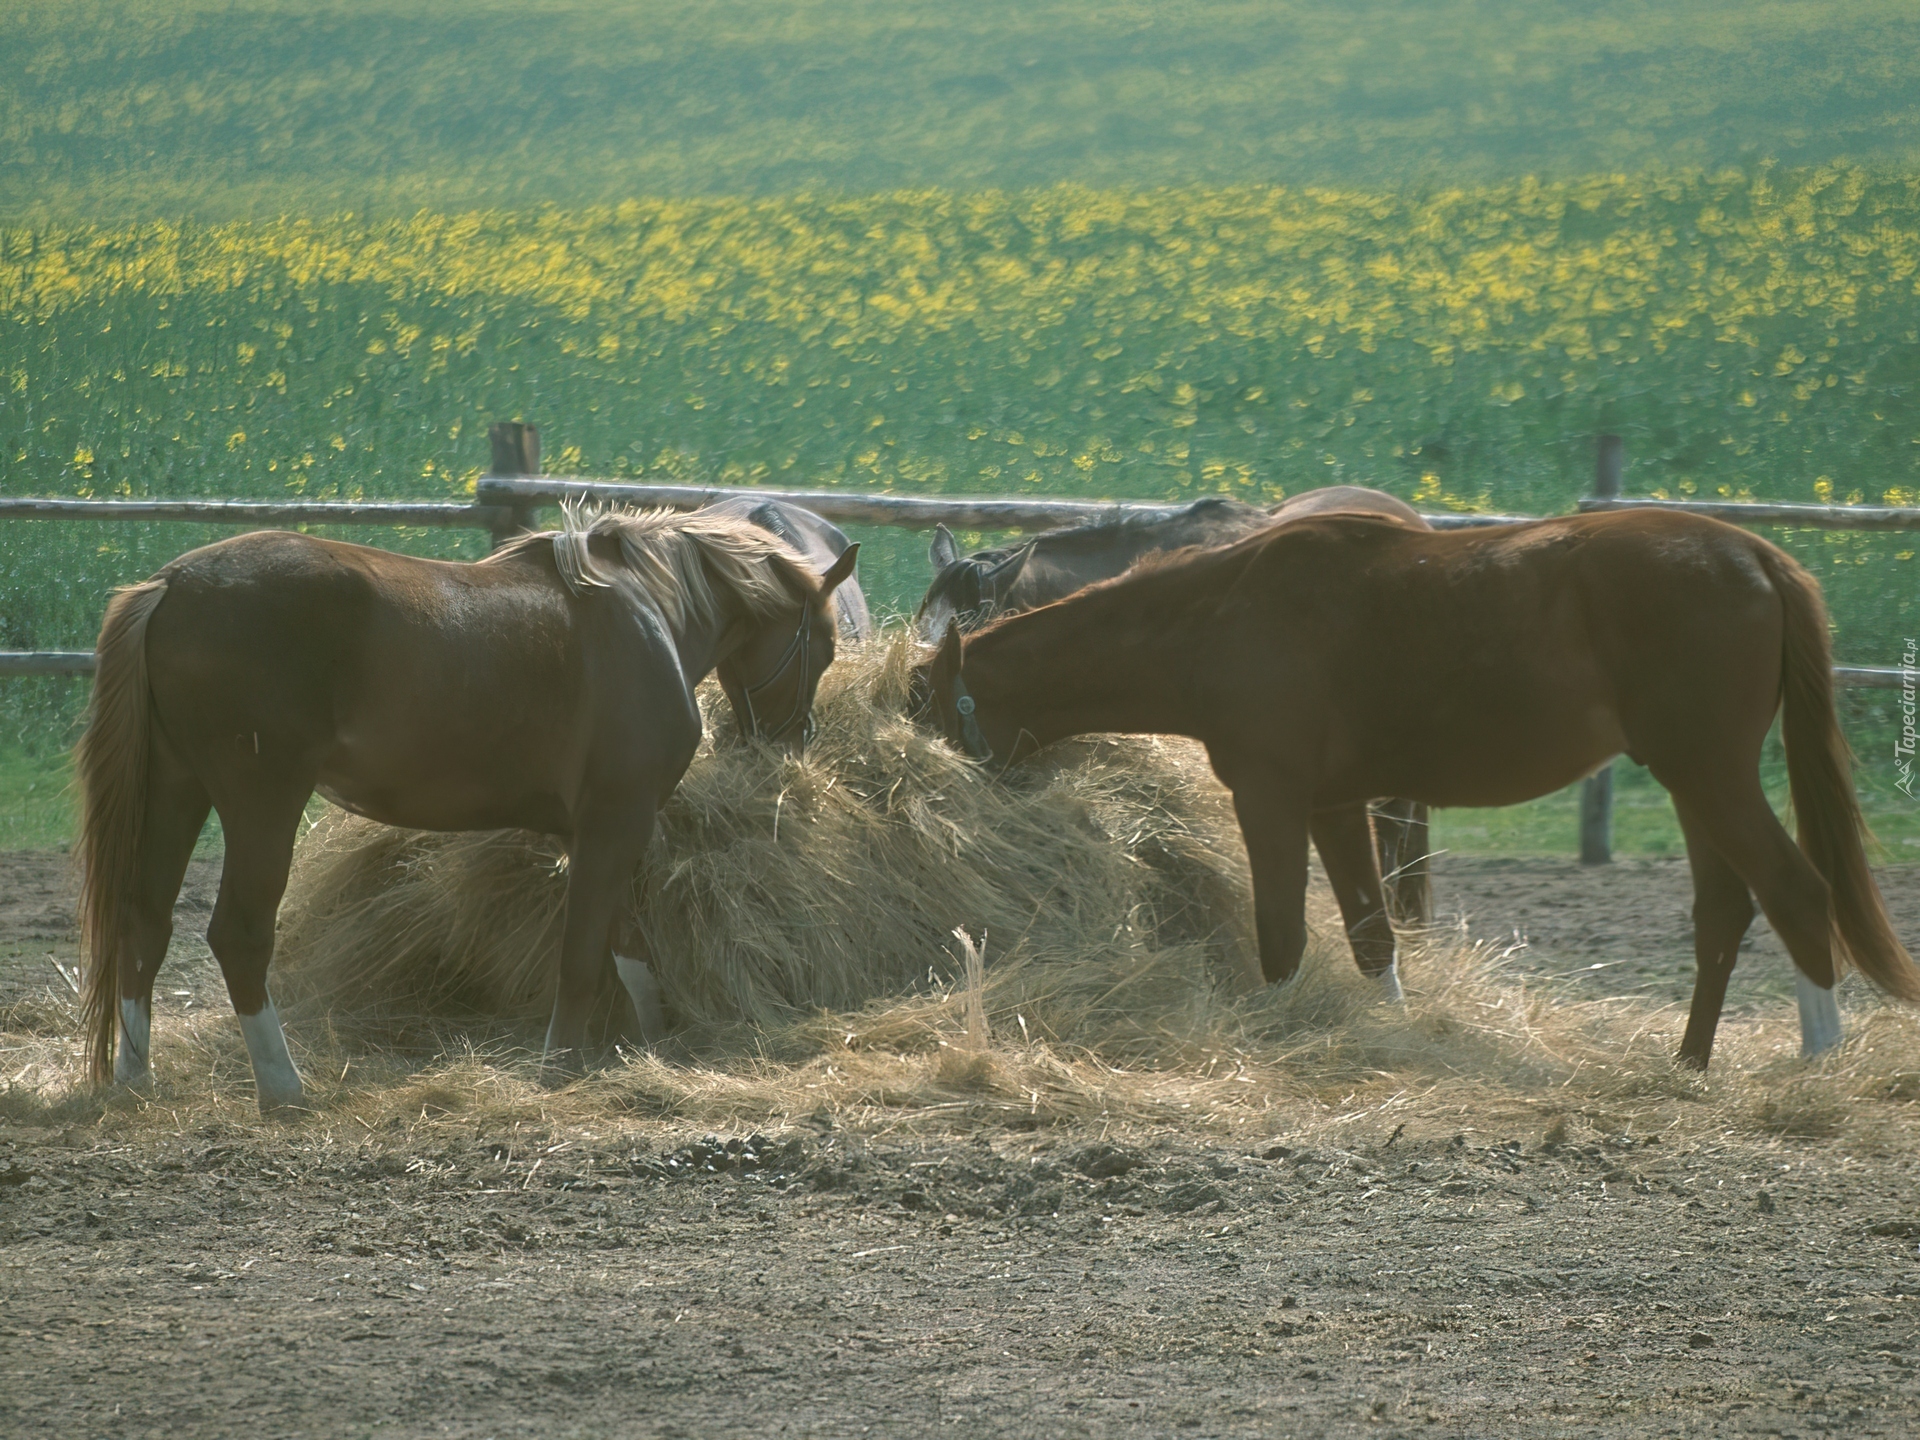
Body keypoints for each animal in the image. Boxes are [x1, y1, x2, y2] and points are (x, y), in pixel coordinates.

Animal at [74, 506, 856, 1113]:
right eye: (823, 643)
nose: (788, 743)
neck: (648, 613)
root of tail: (172, 585)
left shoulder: (596, 831)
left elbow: (624, 941)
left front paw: (652, 1043)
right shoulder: (615, 819)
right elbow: (582, 952)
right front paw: (559, 1067)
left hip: (176, 791)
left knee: (143, 923)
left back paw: (135, 1079)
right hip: (261, 801)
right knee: (237, 934)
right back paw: (283, 1086)